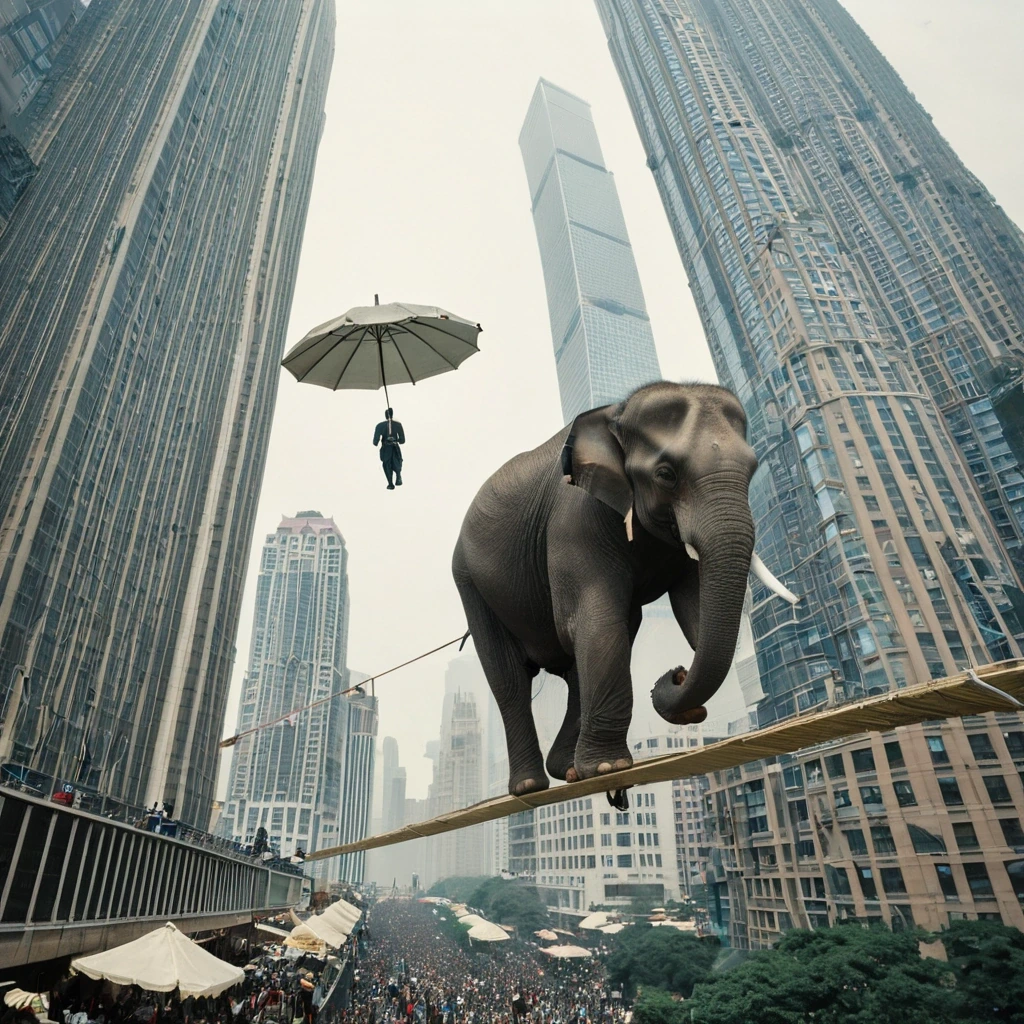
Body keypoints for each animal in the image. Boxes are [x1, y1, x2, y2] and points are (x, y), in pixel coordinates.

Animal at [452, 380, 797, 796]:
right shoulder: (575, 520)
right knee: (509, 677)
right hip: (469, 580)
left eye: (752, 469)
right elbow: (594, 622)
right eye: (665, 474)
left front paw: (599, 766)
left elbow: (689, 611)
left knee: (577, 668)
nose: (676, 674)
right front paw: (608, 767)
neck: (615, 415)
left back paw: (567, 770)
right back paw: (531, 785)